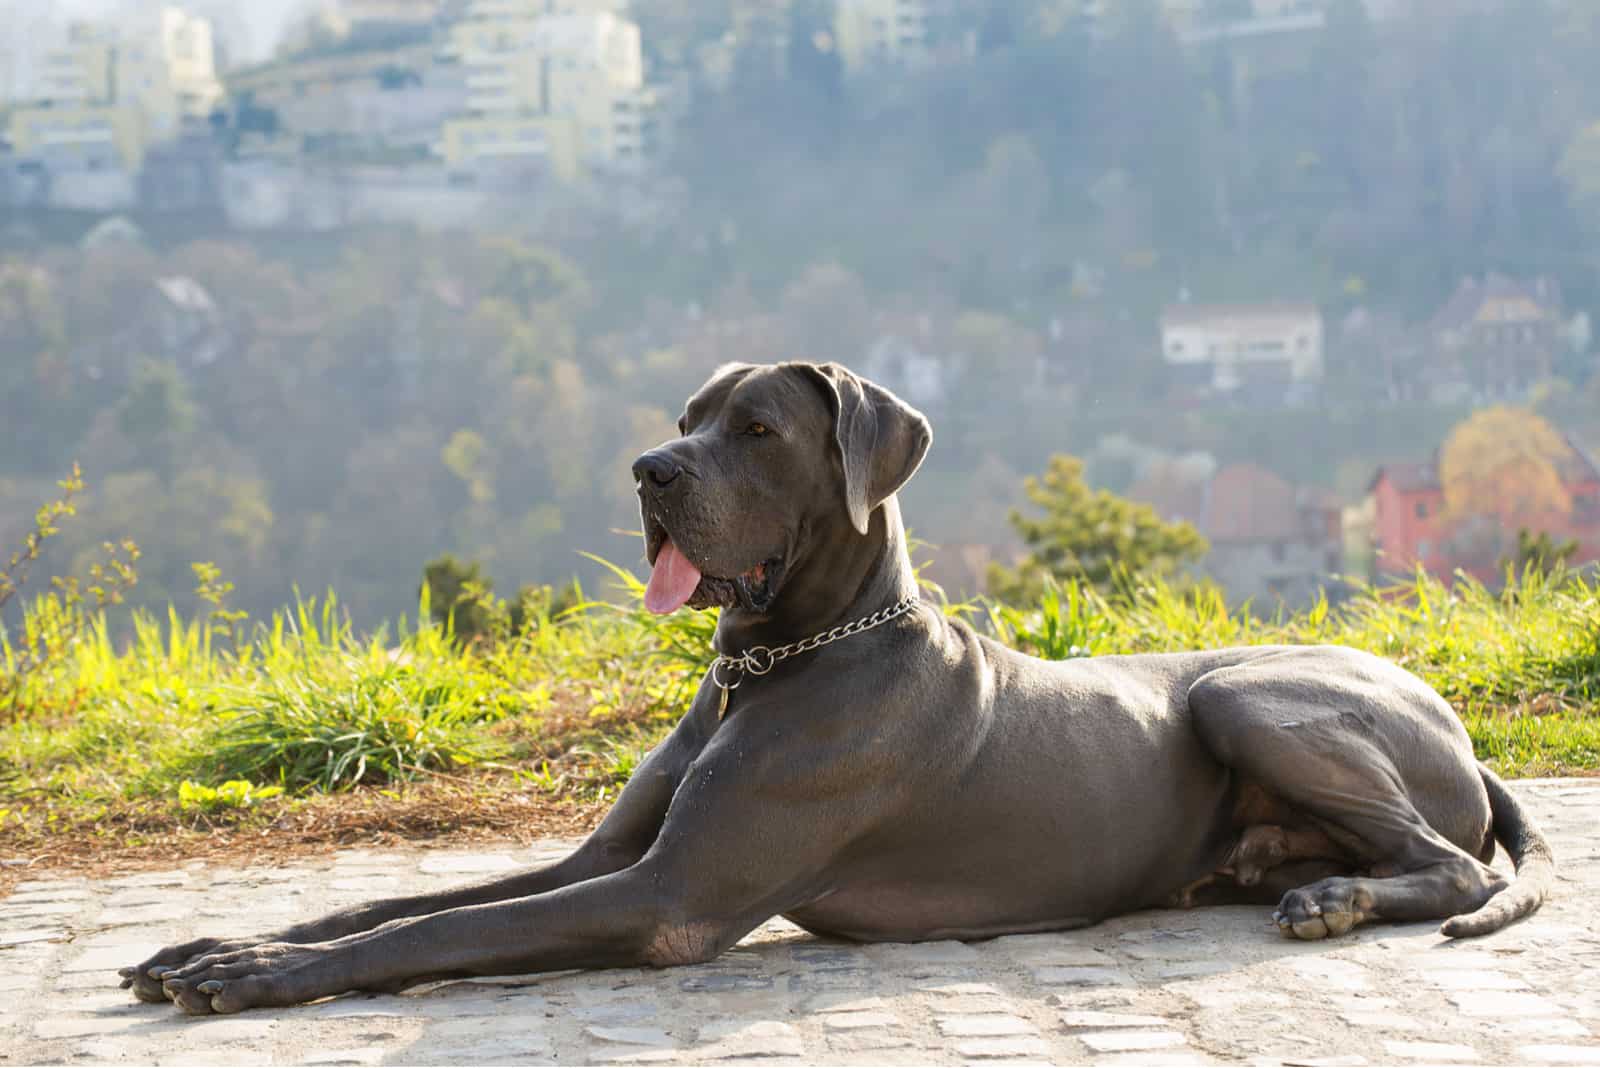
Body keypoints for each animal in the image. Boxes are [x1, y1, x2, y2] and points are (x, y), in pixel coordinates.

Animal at [121, 361, 1548, 1016]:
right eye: (684, 416)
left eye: (756, 429)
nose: (648, 471)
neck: (769, 664)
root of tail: (1457, 725)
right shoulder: (608, 857)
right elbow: (394, 901)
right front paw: (214, 943)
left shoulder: (666, 900)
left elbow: (429, 937)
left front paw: (250, 977)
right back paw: (1297, 881)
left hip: (1247, 694)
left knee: (1454, 864)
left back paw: (1334, 898)